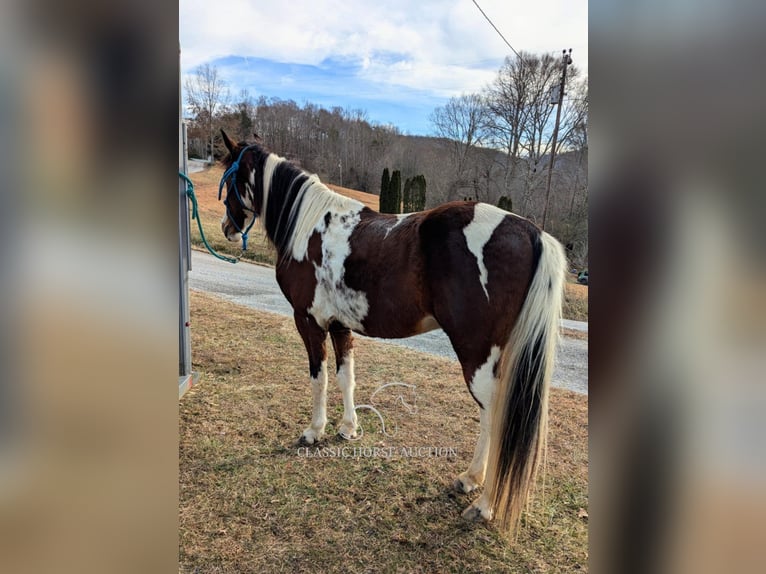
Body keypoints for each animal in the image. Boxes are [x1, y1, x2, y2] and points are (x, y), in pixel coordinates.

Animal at [219, 128, 568, 536]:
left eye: (228, 175)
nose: (227, 228)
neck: (309, 226)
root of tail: (531, 231)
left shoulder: (308, 322)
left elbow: (319, 378)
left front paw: (314, 430)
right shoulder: (340, 325)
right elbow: (346, 377)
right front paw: (348, 428)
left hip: (478, 354)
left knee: (494, 415)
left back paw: (483, 503)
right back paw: (470, 480)